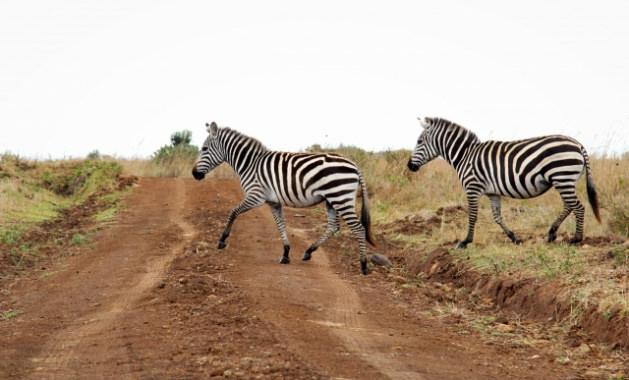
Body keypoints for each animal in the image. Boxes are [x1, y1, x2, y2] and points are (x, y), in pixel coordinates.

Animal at [191, 121, 376, 274]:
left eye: (204, 149)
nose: (194, 174)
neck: (250, 164)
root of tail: (354, 164)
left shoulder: (256, 195)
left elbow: (233, 212)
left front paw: (222, 240)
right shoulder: (273, 202)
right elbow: (280, 225)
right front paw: (286, 254)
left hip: (340, 197)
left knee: (359, 228)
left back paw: (364, 265)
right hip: (332, 200)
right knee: (333, 226)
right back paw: (308, 252)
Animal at [404, 117, 600, 248]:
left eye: (419, 141)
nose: (409, 166)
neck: (465, 155)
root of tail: (578, 144)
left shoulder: (472, 187)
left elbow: (472, 215)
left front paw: (465, 241)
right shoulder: (493, 192)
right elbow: (497, 217)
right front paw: (515, 238)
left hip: (562, 176)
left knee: (578, 207)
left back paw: (576, 239)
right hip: (563, 180)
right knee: (569, 206)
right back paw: (552, 233)